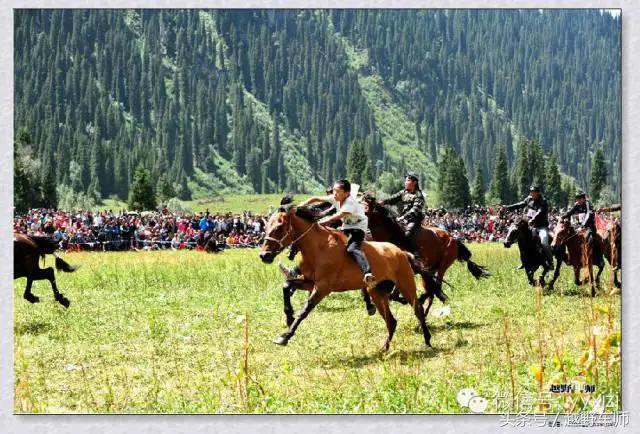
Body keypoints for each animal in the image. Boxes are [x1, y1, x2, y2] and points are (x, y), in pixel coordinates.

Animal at [258, 204, 432, 352]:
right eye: (266, 227)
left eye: (279, 227)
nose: (264, 255)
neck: (318, 247)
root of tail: (402, 252)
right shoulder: (310, 282)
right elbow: (287, 286)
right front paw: (289, 316)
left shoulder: (322, 287)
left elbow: (305, 310)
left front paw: (285, 336)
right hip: (377, 292)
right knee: (392, 321)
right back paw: (384, 348)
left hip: (406, 284)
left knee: (418, 309)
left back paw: (427, 341)